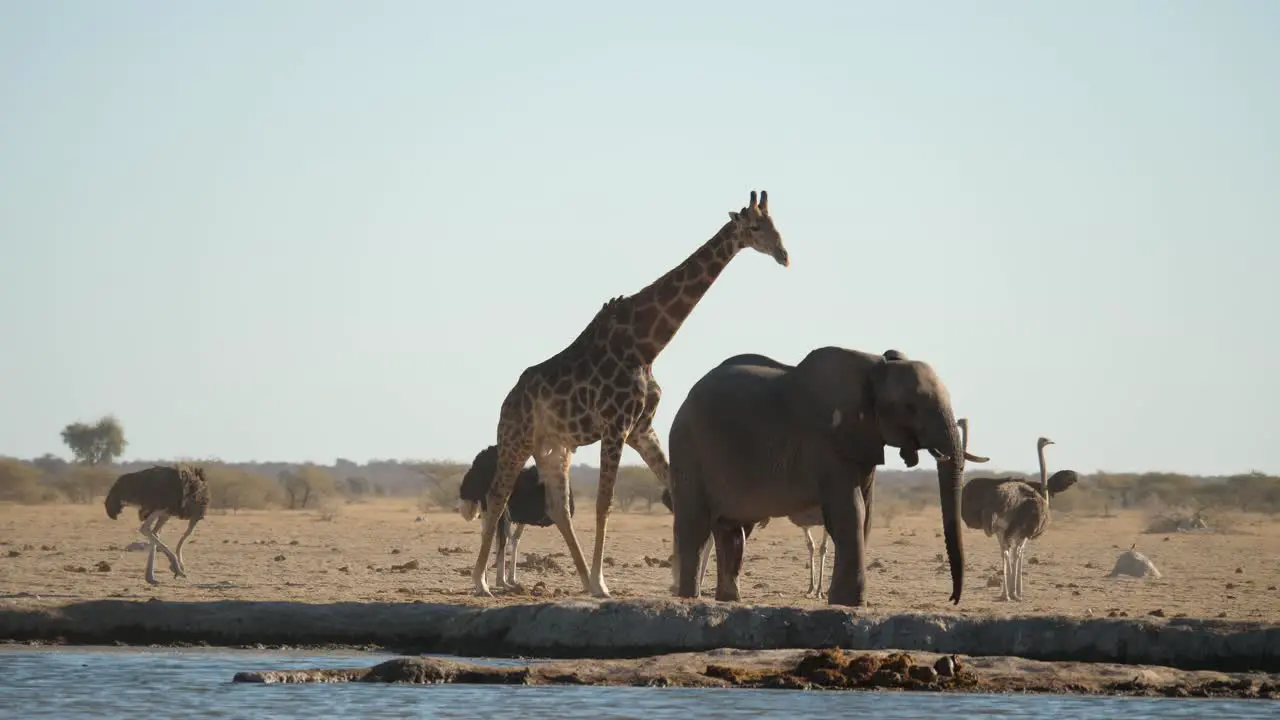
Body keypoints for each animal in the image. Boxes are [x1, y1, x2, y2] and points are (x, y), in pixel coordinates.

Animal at [473, 185, 788, 594]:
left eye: (775, 223)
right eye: (754, 227)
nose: (784, 255)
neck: (646, 344)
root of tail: (507, 401)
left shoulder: (641, 427)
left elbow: (674, 492)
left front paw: (679, 580)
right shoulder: (615, 425)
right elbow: (604, 503)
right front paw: (604, 582)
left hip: (554, 447)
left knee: (558, 507)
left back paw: (580, 579)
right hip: (516, 439)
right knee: (497, 497)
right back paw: (482, 582)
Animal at [665, 345, 983, 602]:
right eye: (910, 407)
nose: (952, 598)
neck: (874, 367)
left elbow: (866, 513)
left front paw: (841, 599)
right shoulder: (826, 442)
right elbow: (850, 510)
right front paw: (850, 602)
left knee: (732, 528)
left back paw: (729, 600)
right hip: (687, 446)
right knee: (696, 524)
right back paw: (689, 598)